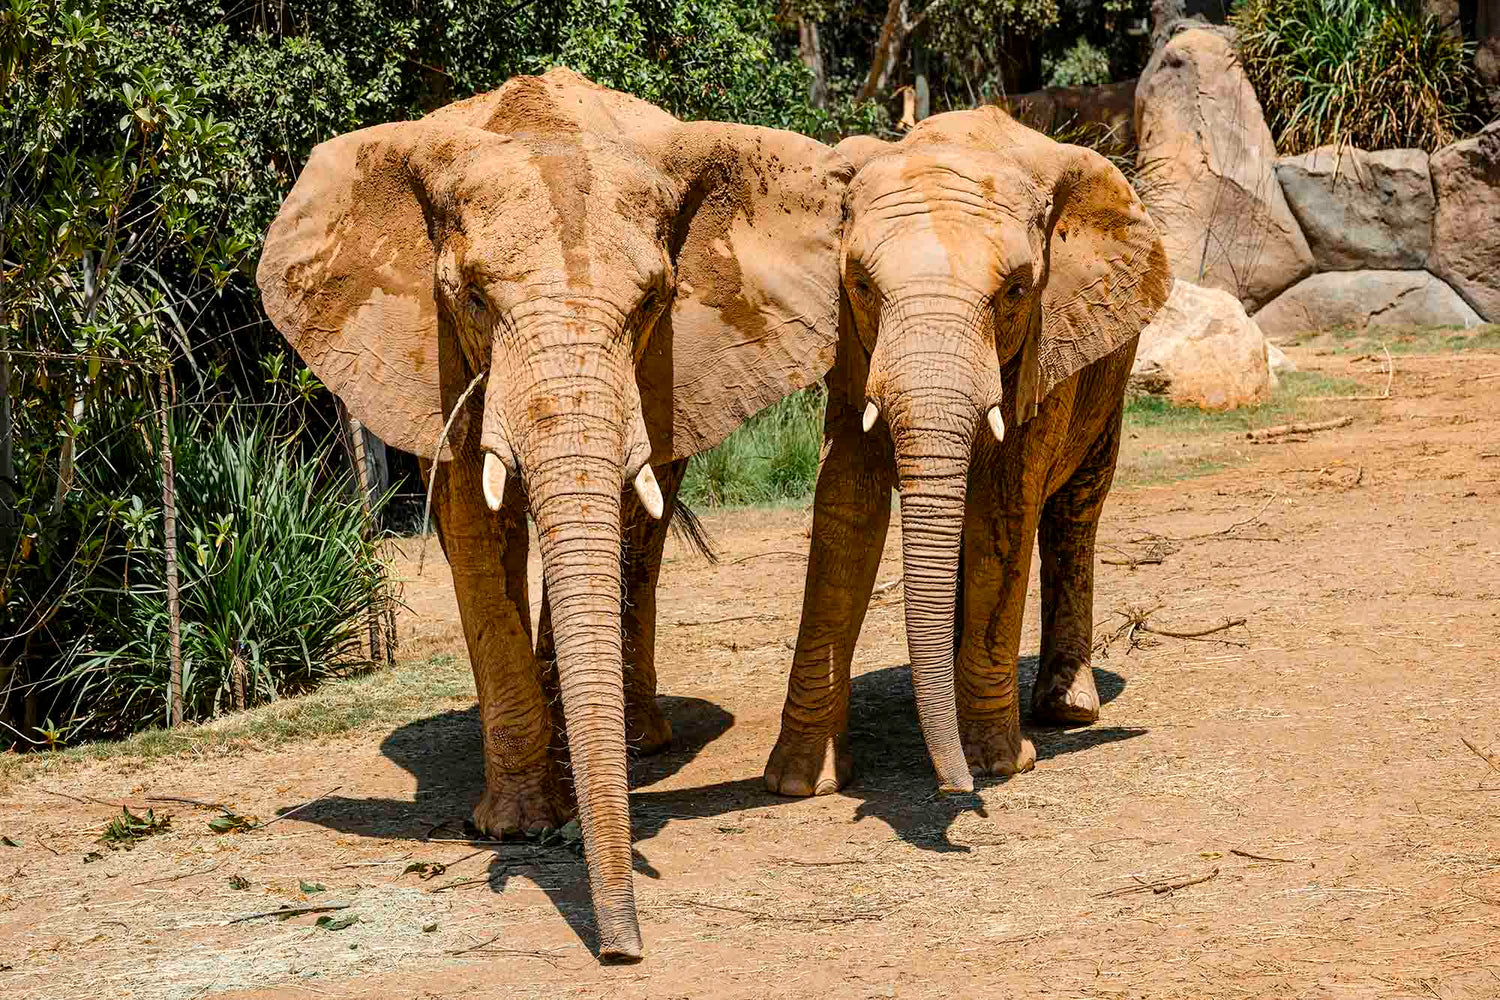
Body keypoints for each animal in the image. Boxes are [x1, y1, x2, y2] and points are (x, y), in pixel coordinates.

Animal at [256, 69, 850, 959]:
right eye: (469, 297)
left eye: (654, 299)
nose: (622, 950)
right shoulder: (437, 349)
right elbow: (471, 521)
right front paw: (518, 825)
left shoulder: (664, 355)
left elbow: (631, 513)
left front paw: (568, 798)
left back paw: (633, 740)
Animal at [763, 107, 1170, 798]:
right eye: (862, 286)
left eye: (1015, 292)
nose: (955, 789)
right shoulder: (850, 347)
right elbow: (847, 506)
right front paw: (797, 782)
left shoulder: (1047, 343)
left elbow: (1002, 511)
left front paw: (998, 765)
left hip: (1110, 369)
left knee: (1075, 512)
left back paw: (1066, 709)